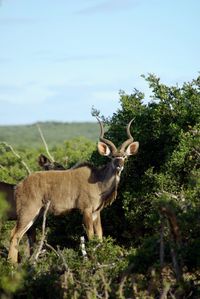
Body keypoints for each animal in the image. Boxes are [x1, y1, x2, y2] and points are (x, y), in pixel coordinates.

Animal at [8, 118, 139, 264]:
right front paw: (93, 260)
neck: (98, 180)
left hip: (35, 214)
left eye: (125, 157)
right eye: (111, 157)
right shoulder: (86, 210)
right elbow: (91, 236)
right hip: (28, 211)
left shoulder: (96, 212)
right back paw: (11, 265)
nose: (119, 166)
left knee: (19, 235)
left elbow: (99, 236)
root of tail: (19, 186)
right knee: (14, 235)